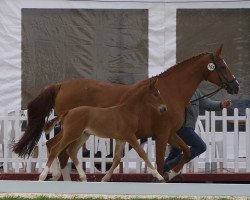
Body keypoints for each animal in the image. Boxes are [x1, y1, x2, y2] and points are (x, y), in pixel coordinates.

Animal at [39, 79, 168, 182]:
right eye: (156, 94)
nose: (164, 108)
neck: (128, 110)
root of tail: (69, 111)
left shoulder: (121, 139)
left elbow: (116, 159)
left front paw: (104, 179)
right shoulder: (130, 136)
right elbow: (142, 153)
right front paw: (159, 177)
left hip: (82, 135)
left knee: (71, 151)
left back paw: (83, 177)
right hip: (72, 133)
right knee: (56, 149)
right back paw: (42, 176)